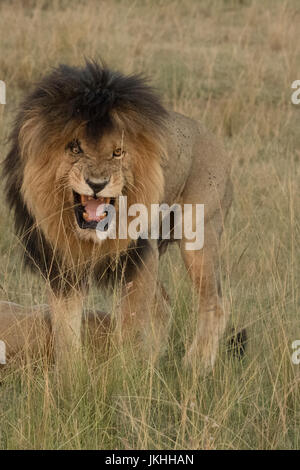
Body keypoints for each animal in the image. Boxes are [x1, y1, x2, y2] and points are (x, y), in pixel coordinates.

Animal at [1, 60, 232, 372]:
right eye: (75, 147)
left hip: (200, 236)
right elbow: (65, 330)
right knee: (164, 304)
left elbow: (131, 326)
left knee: (213, 302)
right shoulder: (62, 265)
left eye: (118, 152)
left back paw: (197, 364)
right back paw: (155, 360)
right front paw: (72, 377)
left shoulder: (139, 256)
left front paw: (125, 373)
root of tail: (211, 136)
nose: (96, 184)